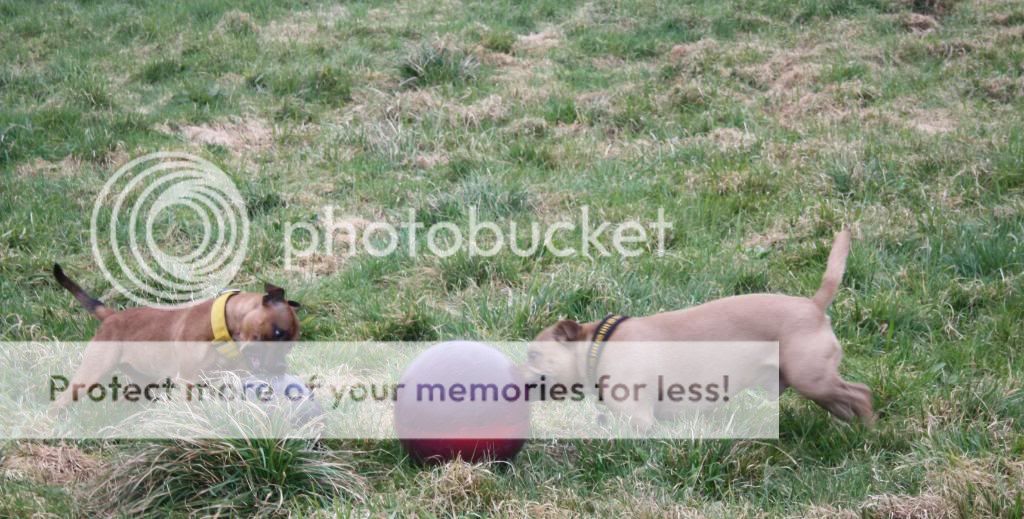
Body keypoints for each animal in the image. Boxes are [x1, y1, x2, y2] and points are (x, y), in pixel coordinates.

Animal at [50, 266, 299, 407]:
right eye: (278, 332)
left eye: (291, 346)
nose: (281, 368)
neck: (222, 326)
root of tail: (111, 316)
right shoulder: (187, 380)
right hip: (91, 373)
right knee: (59, 403)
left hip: (144, 382)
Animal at [528, 232, 872, 429]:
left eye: (532, 354)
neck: (598, 345)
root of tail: (814, 306)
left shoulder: (639, 419)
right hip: (817, 386)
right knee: (845, 403)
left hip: (812, 378)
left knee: (862, 394)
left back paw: (869, 430)